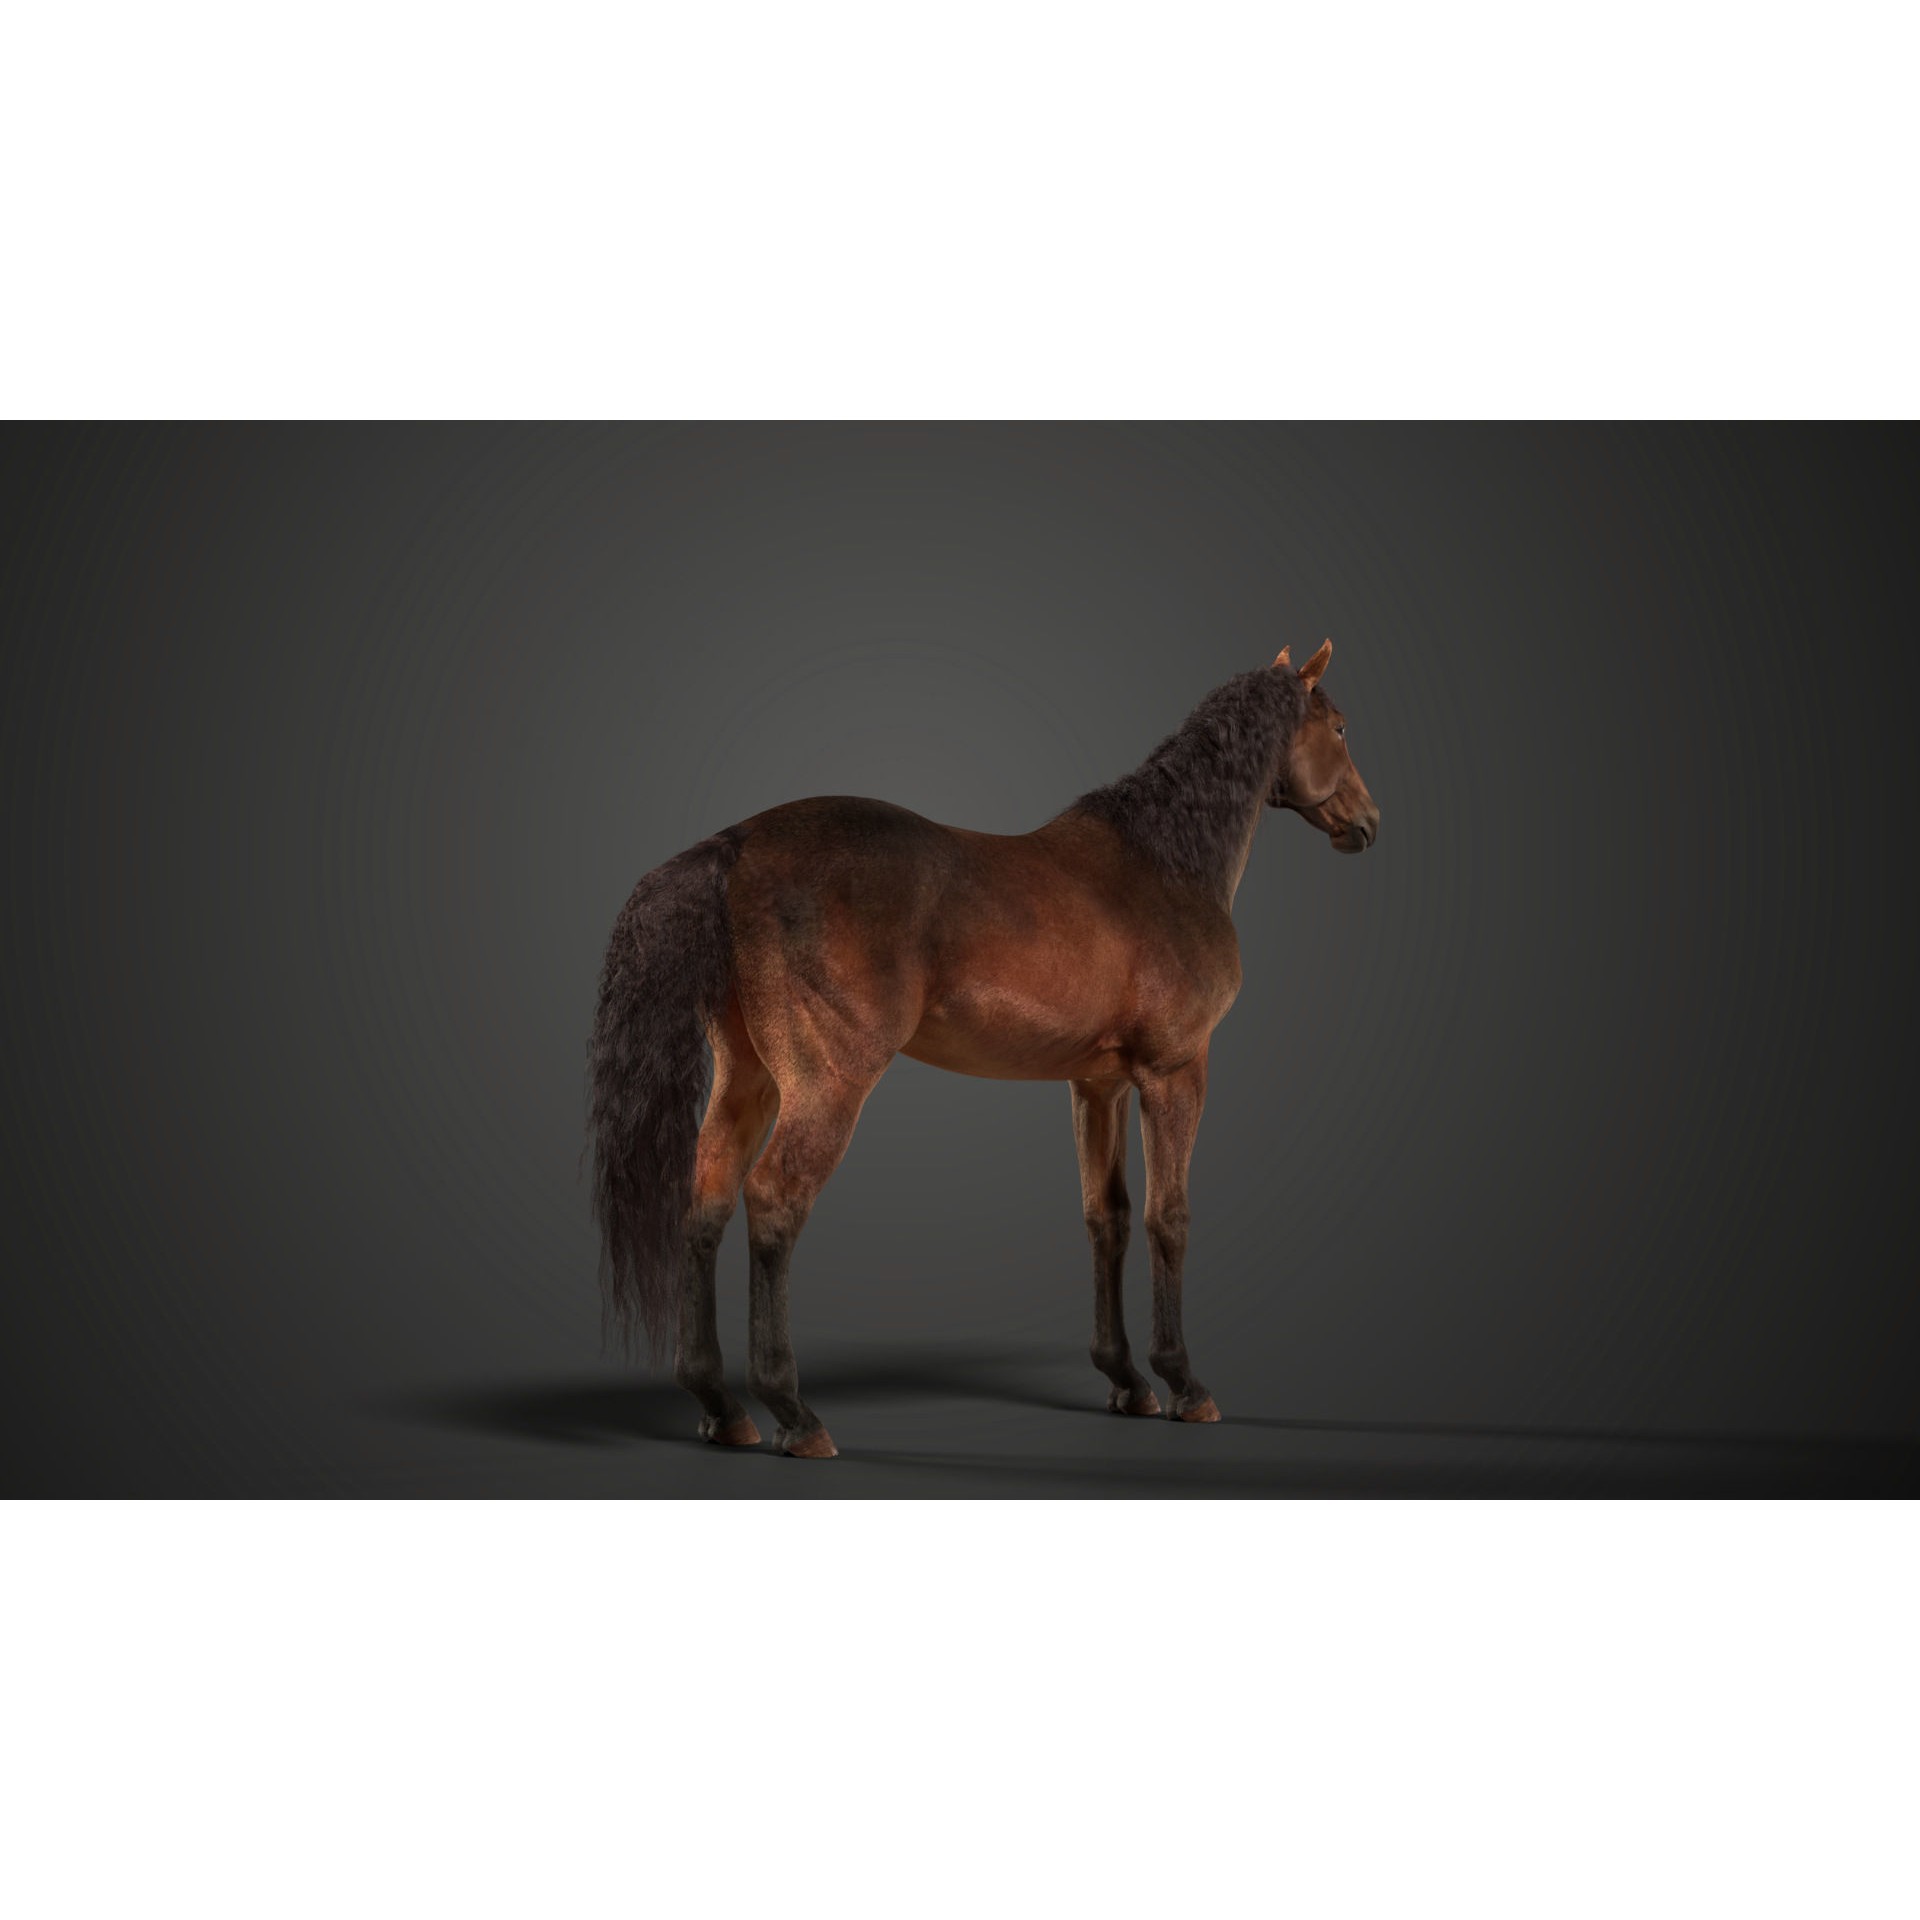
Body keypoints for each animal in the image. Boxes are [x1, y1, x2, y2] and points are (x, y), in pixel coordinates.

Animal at [588, 640, 1378, 1457]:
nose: (1368, 822)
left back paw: (722, 1406)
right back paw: (794, 1413)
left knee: (705, 1202)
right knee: (775, 1200)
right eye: (1340, 728)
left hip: (747, 1079)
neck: (1166, 862)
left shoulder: (1097, 1086)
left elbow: (1108, 1217)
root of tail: (735, 845)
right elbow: (1170, 1217)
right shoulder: (1176, 1071)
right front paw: (1185, 1384)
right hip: (828, 1083)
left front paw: (1128, 1383)